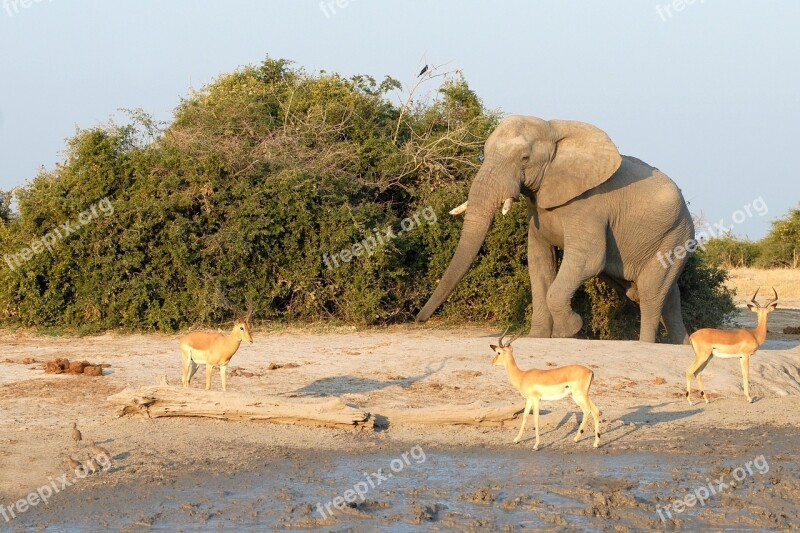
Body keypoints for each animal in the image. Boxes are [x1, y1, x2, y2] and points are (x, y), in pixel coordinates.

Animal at [418, 114, 692, 342]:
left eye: (524, 158)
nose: (419, 319)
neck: (553, 130)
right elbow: (539, 261)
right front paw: (538, 337)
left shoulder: (588, 205)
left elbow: (588, 259)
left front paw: (568, 332)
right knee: (668, 296)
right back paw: (683, 345)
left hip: (675, 237)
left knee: (650, 292)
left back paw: (645, 344)